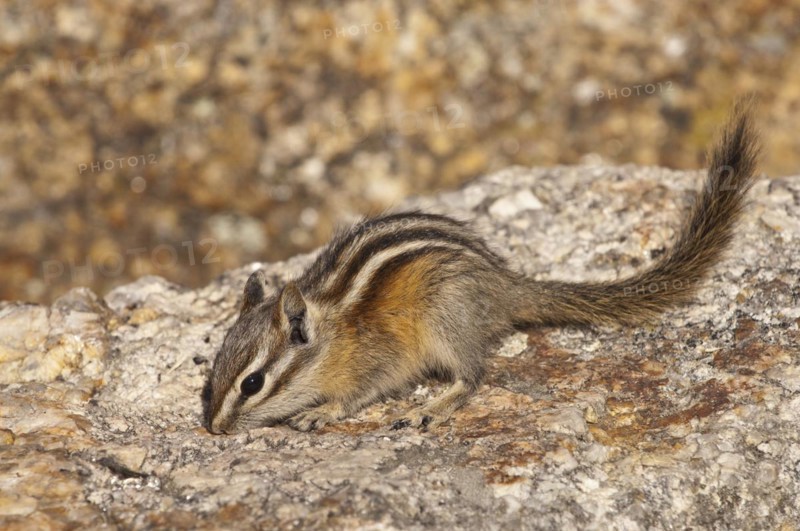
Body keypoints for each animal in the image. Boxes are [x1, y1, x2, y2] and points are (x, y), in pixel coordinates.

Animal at [203, 99, 760, 434]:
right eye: (212, 375)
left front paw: (323, 411)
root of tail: (504, 285)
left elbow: (363, 392)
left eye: (251, 384)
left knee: (473, 376)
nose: (213, 428)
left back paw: (431, 407)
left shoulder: (378, 359)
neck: (329, 336)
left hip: (443, 316)